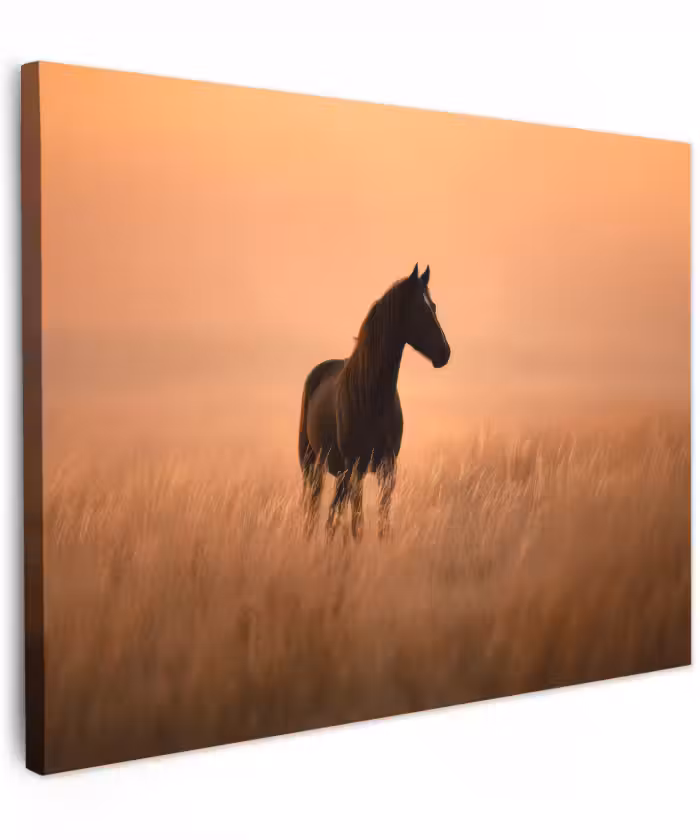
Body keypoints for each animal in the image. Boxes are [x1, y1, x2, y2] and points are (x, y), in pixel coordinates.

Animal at [297, 263, 451, 540]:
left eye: (433, 306)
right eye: (420, 309)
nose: (444, 353)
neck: (372, 397)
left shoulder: (387, 468)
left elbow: (382, 522)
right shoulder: (356, 467)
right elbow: (357, 524)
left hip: (340, 473)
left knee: (333, 515)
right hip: (312, 465)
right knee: (315, 511)